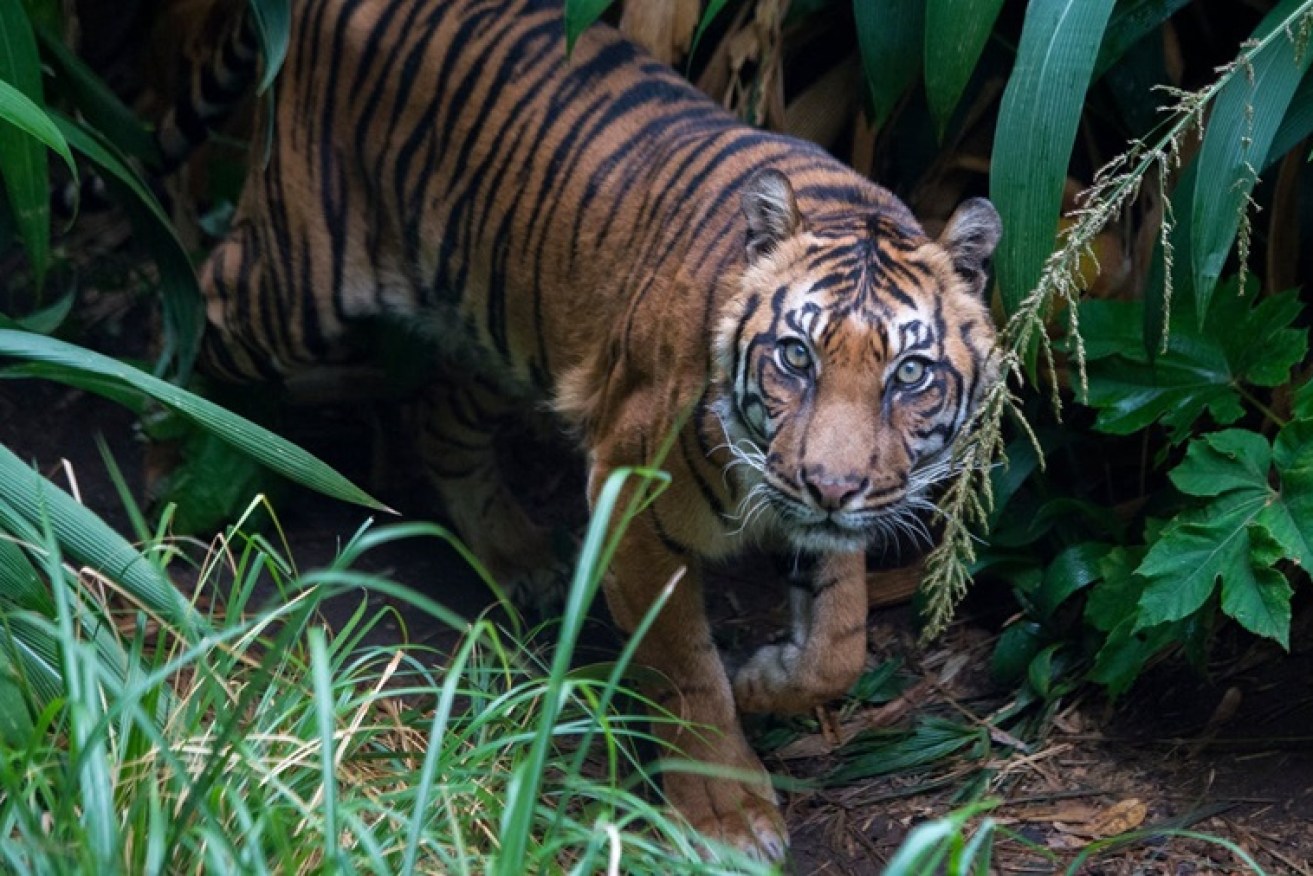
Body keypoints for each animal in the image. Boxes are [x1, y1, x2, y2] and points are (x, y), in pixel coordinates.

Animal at [158, 0, 997, 856]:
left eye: (909, 374)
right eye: (796, 357)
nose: (830, 486)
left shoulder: (823, 514)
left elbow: (840, 642)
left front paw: (764, 677)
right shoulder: (632, 496)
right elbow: (683, 666)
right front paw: (725, 813)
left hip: (504, 324)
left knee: (439, 419)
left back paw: (518, 556)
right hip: (297, 284)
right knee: (203, 291)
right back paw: (179, 430)